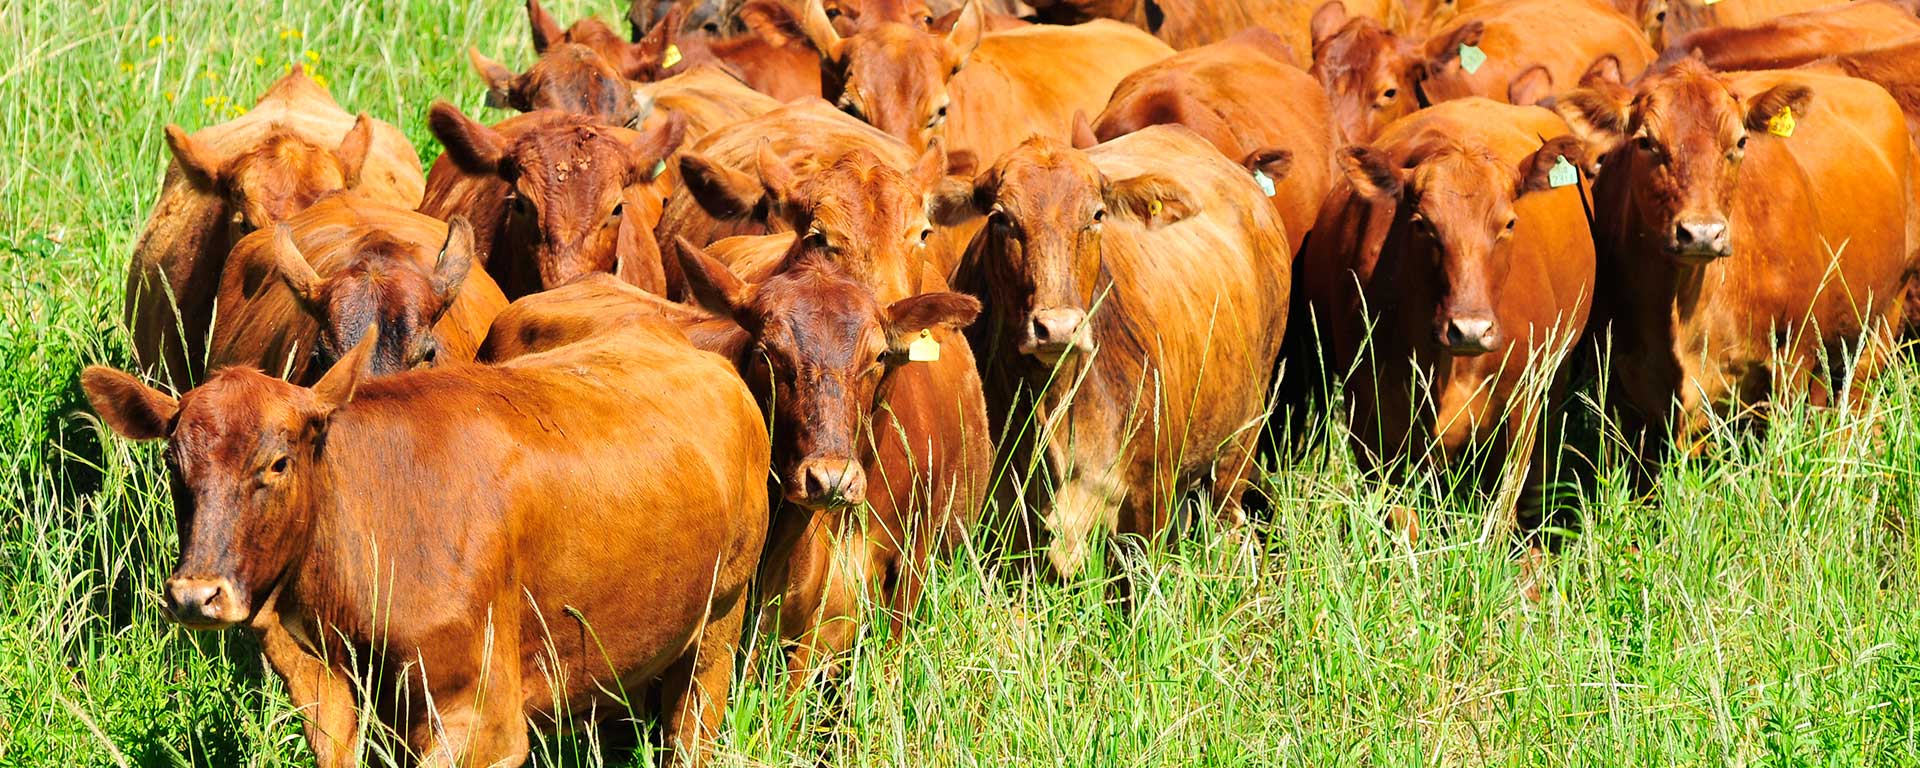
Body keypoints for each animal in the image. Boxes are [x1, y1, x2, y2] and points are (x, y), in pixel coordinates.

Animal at [81, 322, 769, 768]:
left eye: (277, 462)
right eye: (172, 462)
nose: (195, 595)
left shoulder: (482, 719)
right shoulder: (325, 691)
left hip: (720, 622)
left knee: (690, 725)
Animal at [1297, 98, 1594, 540]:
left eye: (1508, 223)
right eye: (1423, 224)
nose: (1469, 330)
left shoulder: (1520, 409)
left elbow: (1499, 515)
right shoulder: (1370, 420)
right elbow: (1401, 520)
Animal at [1554, 59, 1919, 486]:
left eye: (1741, 142)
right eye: (1645, 142)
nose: (1701, 232)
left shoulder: (1790, 361)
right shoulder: (1619, 381)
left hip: (1883, 317)